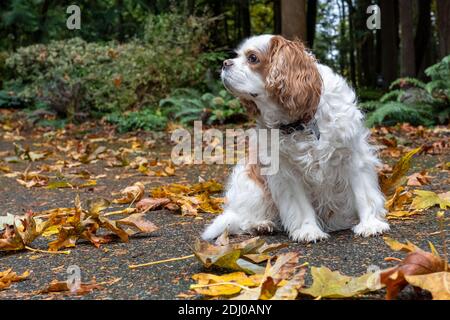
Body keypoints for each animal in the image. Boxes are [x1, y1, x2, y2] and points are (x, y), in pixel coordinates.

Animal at [202, 35, 388, 242]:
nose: (225, 63)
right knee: (240, 221)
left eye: (252, 58)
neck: (303, 121)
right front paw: (309, 230)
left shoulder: (352, 156)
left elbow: (362, 194)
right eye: (236, 56)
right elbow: (301, 206)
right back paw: (261, 225)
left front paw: (370, 224)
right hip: (251, 183)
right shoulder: (286, 172)